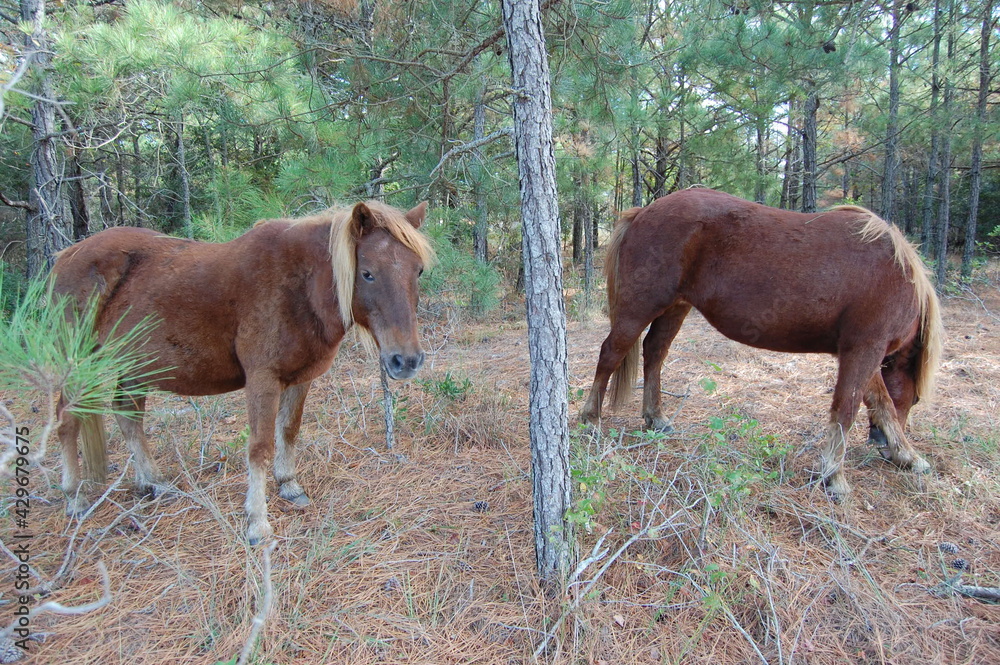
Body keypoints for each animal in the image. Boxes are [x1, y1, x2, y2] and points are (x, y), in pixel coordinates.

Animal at [52, 200, 433, 544]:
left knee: (128, 415)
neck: (296, 285)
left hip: (132, 364)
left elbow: (289, 431)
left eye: (418, 271)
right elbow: (259, 447)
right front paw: (257, 523)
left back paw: (153, 483)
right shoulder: (262, 380)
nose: (406, 360)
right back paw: (74, 497)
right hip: (78, 362)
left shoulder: (302, 378)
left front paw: (289, 486)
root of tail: (65, 256)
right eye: (367, 272)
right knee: (67, 419)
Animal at [579, 188, 943, 498]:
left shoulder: (863, 353)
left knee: (654, 352)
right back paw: (591, 420)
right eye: (915, 398)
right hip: (640, 307)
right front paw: (834, 477)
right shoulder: (864, 349)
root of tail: (643, 212)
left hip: (675, 308)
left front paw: (909, 457)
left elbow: (879, 402)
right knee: (610, 353)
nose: (880, 445)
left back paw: (656, 418)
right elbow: (848, 409)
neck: (896, 274)